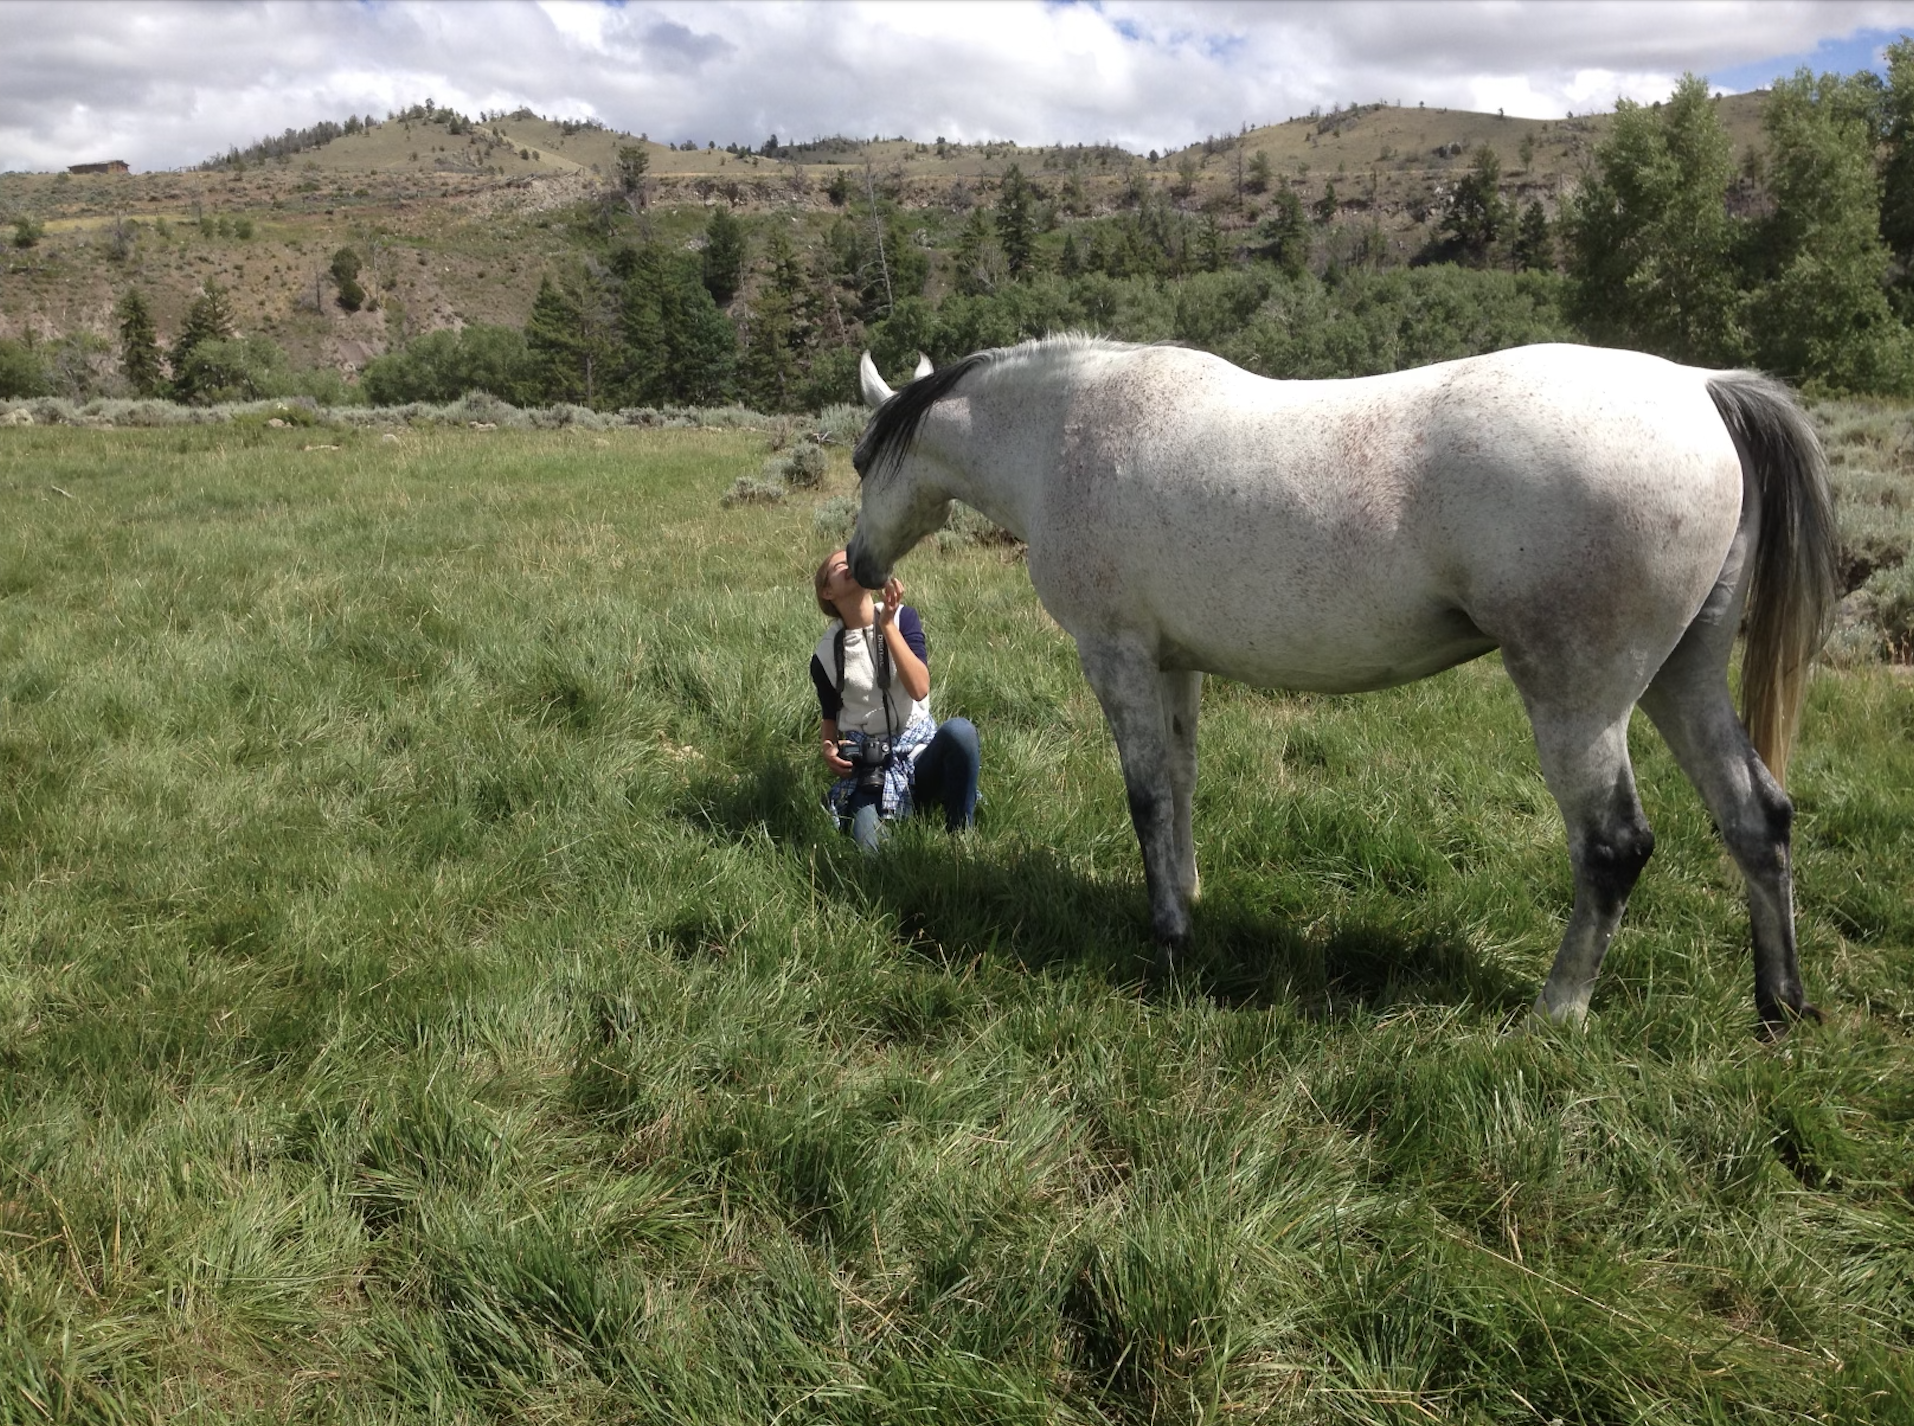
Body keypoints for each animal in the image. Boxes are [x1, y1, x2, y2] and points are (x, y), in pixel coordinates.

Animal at [849, 336, 1839, 1034]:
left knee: (1613, 847)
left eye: (863, 462)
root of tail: (1700, 386)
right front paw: (1189, 896)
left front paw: (1167, 934)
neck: (1067, 433)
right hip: (1684, 676)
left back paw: (1556, 1012)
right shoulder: (1173, 664)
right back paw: (1779, 1004)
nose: (858, 566)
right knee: (1757, 818)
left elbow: (1145, 795)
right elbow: (1180, 782)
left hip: (1580, 702)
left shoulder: (1116, 655)